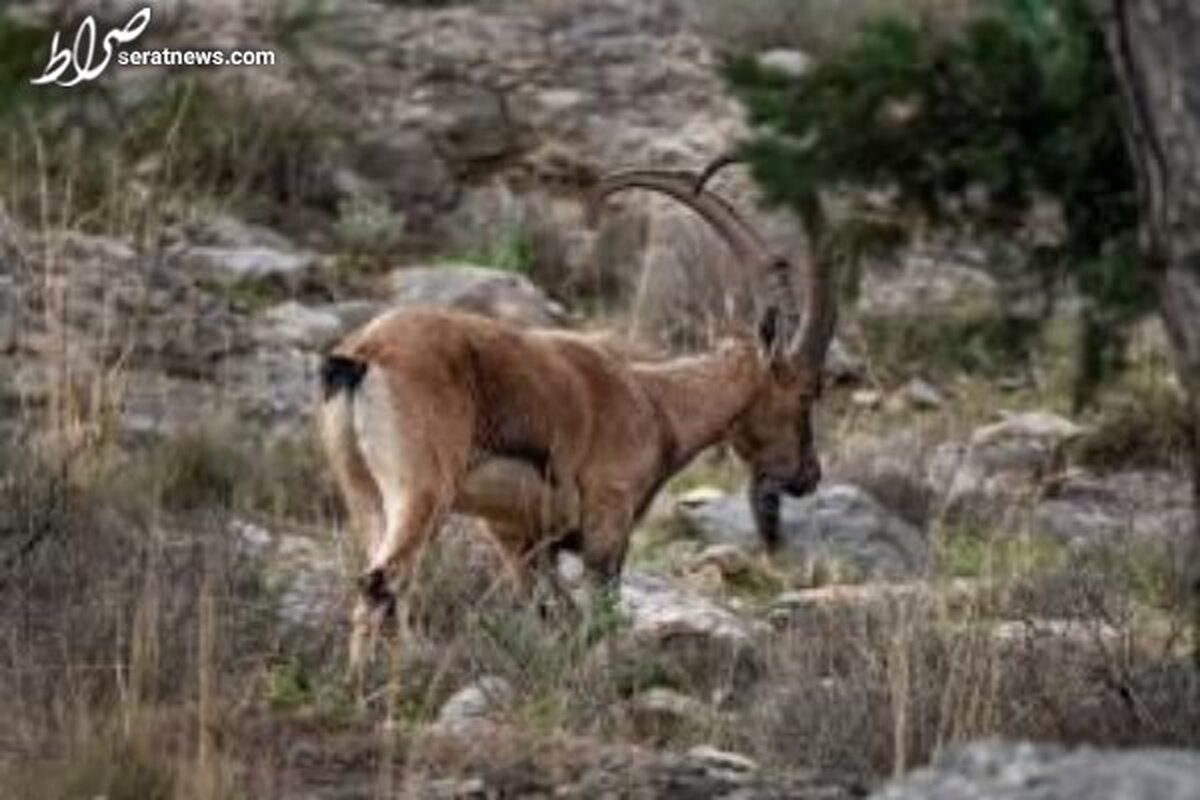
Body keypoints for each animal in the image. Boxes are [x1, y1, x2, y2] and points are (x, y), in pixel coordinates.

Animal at [324, 163, 840, 676]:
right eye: (807, 391)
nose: (808, 474)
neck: (654, 402)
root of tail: (364, 356)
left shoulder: (521, 540)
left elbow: (554, 616)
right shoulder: (607, 522)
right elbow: (599, 618)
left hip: (364, 492)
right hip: (423, 490)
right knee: (381, 582)